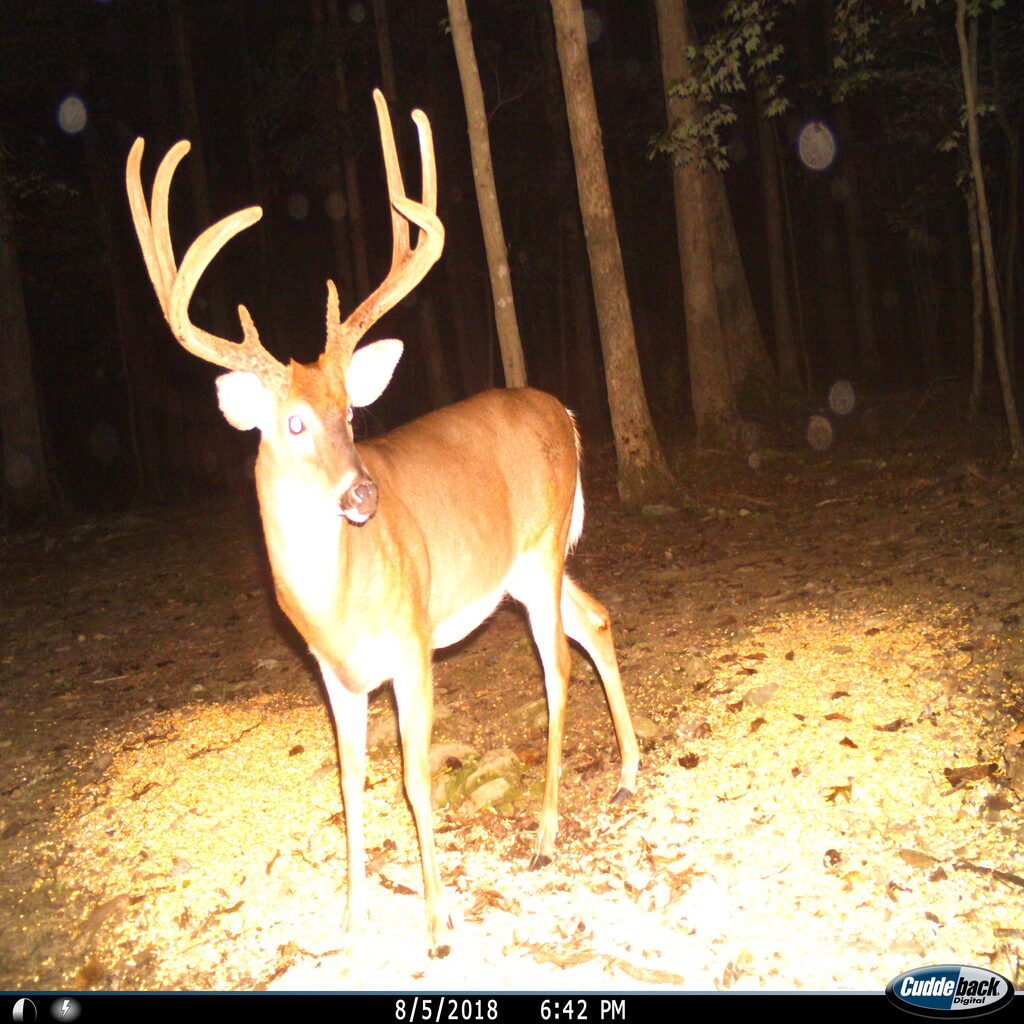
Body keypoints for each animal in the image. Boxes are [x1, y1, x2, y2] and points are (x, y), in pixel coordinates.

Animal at [125, 89, 640, 956]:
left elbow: (412, 775)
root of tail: (567, 414)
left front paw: (436, 922)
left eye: (352, 414)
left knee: (558, 669)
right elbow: (349, 777)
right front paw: (351, 915)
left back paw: (544, 834)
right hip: (524, 570)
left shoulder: (411, 643)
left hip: (539, 552)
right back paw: (631, 773)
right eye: (295, 423)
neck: (338, 600)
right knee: (597, 616)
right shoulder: (332, 672)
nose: (362, 497)